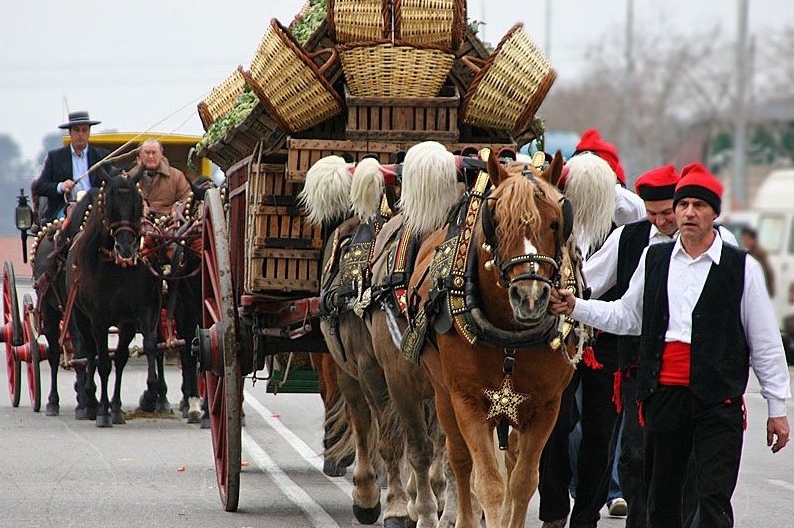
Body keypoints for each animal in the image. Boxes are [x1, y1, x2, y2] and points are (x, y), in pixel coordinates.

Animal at [65, 175, 164, 426]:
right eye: (109, 203)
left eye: (137, 202)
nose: (127, 247)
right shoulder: (98, 319)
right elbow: (102, 362)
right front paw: (102, 410)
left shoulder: (138, 314)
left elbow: (138, 350)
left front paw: (146, 394)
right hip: (80, 316)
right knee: (90, 353)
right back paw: (91, 401)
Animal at [402, 150, 588, 528]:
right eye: (497, 222)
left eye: (555, 222)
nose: (530, 297)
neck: (511, 335)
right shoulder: (468, 401)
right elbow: (488, 482)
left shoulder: (545, 406)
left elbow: (522, 482)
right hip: (444, 394)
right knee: (460, 461)